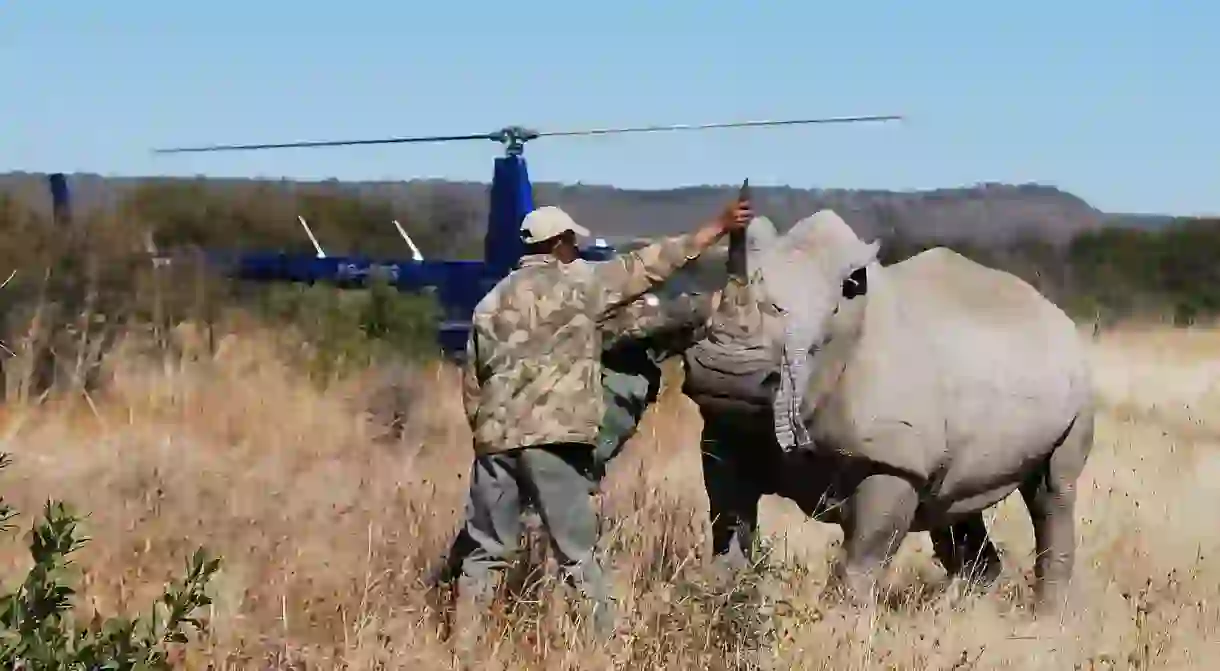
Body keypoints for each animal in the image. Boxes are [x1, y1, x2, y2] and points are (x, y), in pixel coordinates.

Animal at [678, 214, 1098, 614]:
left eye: (812, 349)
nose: (725, 373)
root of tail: (1054, 312)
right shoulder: (729, 433)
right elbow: (728, 526)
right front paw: (719, 603)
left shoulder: (892, 458)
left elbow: (862, 557)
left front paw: (842, 626)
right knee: (952, 503)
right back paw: (954, 612)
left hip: (1078, 379)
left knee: (1052, 492)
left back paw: (1046, 619)